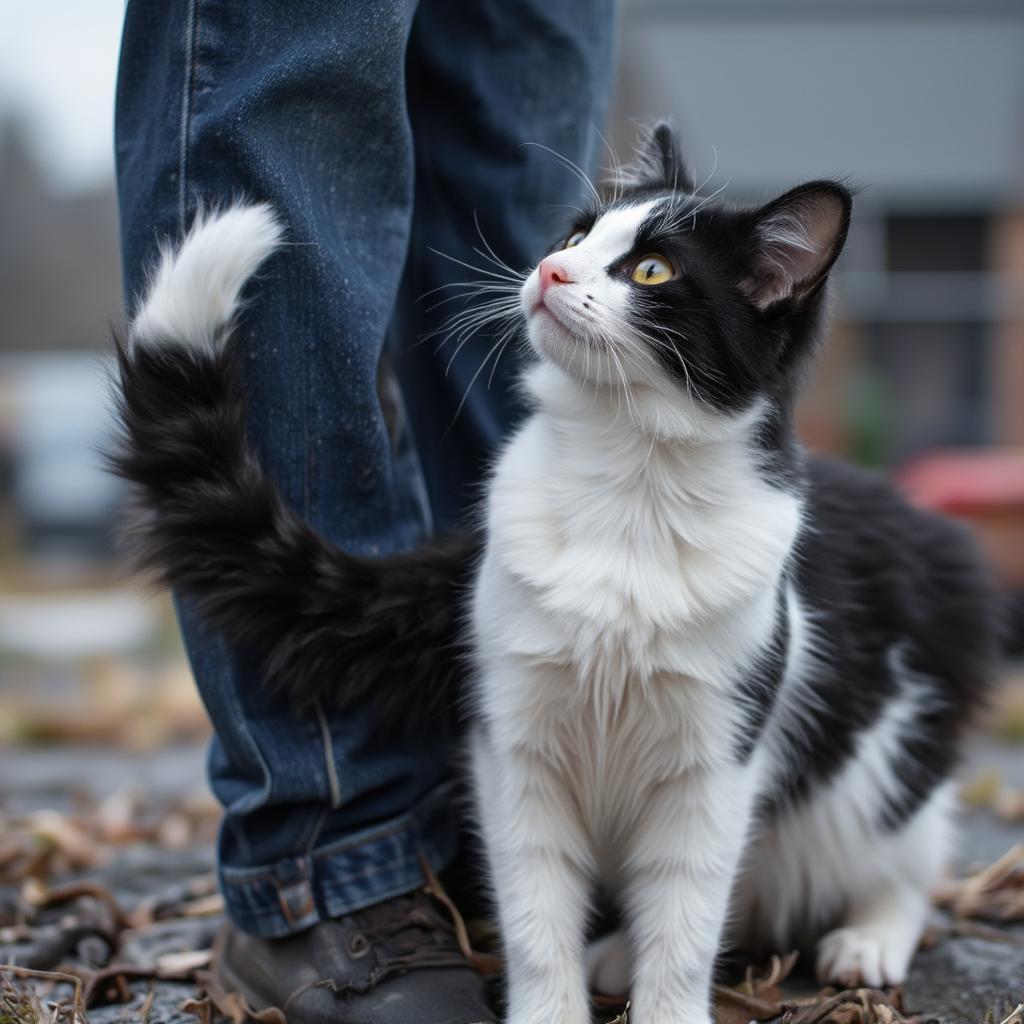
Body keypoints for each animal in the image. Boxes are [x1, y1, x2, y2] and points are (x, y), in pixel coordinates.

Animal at [110, 128, 999, 1024]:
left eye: (652, 270)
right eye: (577, 236)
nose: (549, 271)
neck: (628, 485)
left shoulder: (718, 757)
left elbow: (687, 916)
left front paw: (668, 1006)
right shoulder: (512, 741)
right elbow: (538, 912)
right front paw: (554, 1004)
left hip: (881, 759)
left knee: (906, 852)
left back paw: (870, 938)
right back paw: (617, 953)